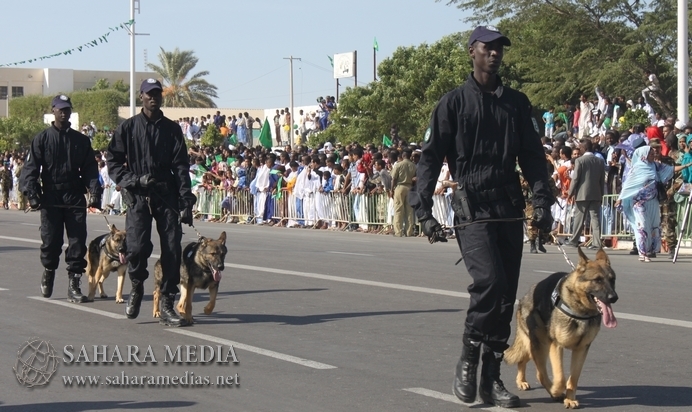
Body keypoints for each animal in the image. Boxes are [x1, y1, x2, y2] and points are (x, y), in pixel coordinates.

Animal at [502, 248, 616, 408]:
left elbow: (573, 379)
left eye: (612, 279)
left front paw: (570, 399)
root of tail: (524, 297)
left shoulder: (581, 350)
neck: (580, 310)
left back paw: (522, 381)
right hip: (541, 344)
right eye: (597, 280)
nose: (614, 297)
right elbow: (561, 378)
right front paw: (556, 391)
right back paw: (547, 389)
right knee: (540, 373)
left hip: (537, 346)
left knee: (523, 360)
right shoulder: (556, 346)